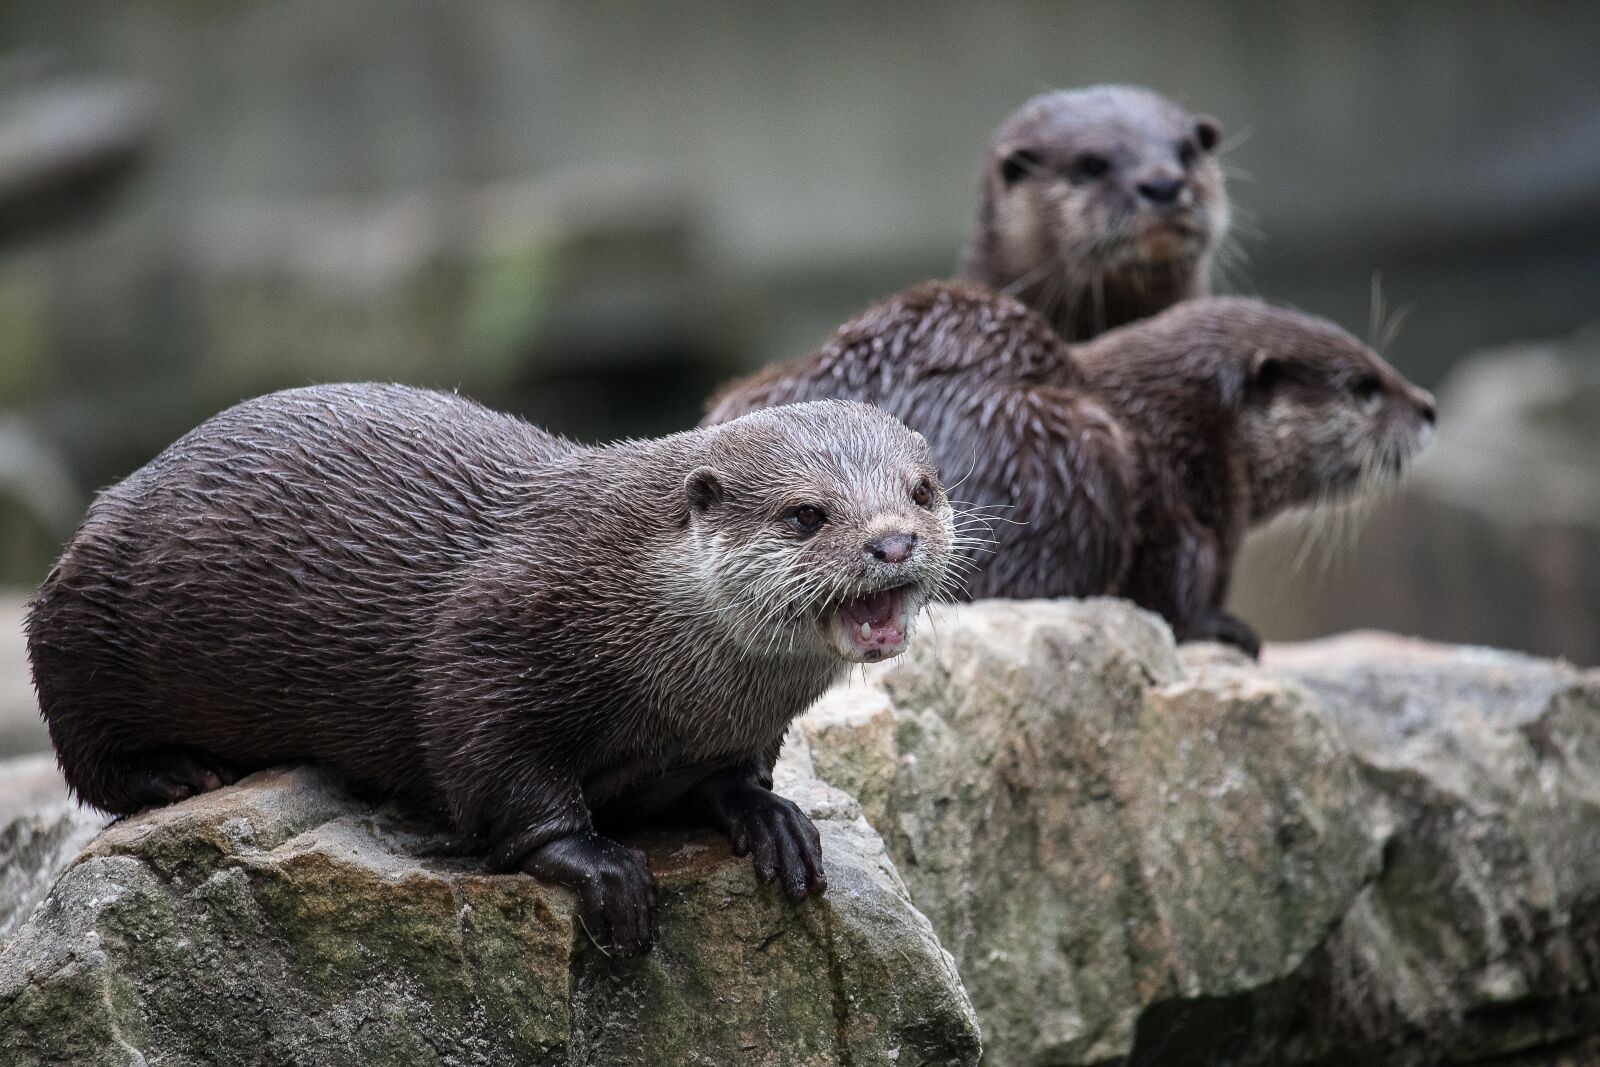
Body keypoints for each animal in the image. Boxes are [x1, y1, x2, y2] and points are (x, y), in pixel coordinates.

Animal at [27, 384, 956, 955]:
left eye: (921, 489)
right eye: (806, 514)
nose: (891, 542)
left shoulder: (741, 725)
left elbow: (735, 776)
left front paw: (769, 817)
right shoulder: (493, 641)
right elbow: (492, 768)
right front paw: (601, 866)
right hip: (80, 615)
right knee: (83, 752)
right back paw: (179, 773)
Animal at [705, 283, 1436, 656]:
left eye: (1375, 362)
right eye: (1366, 387)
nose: (1428, 405)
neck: (1182, 427)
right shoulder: (1182, 506)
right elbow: (1177, 596)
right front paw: (1225, 629)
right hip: (1078, 460)